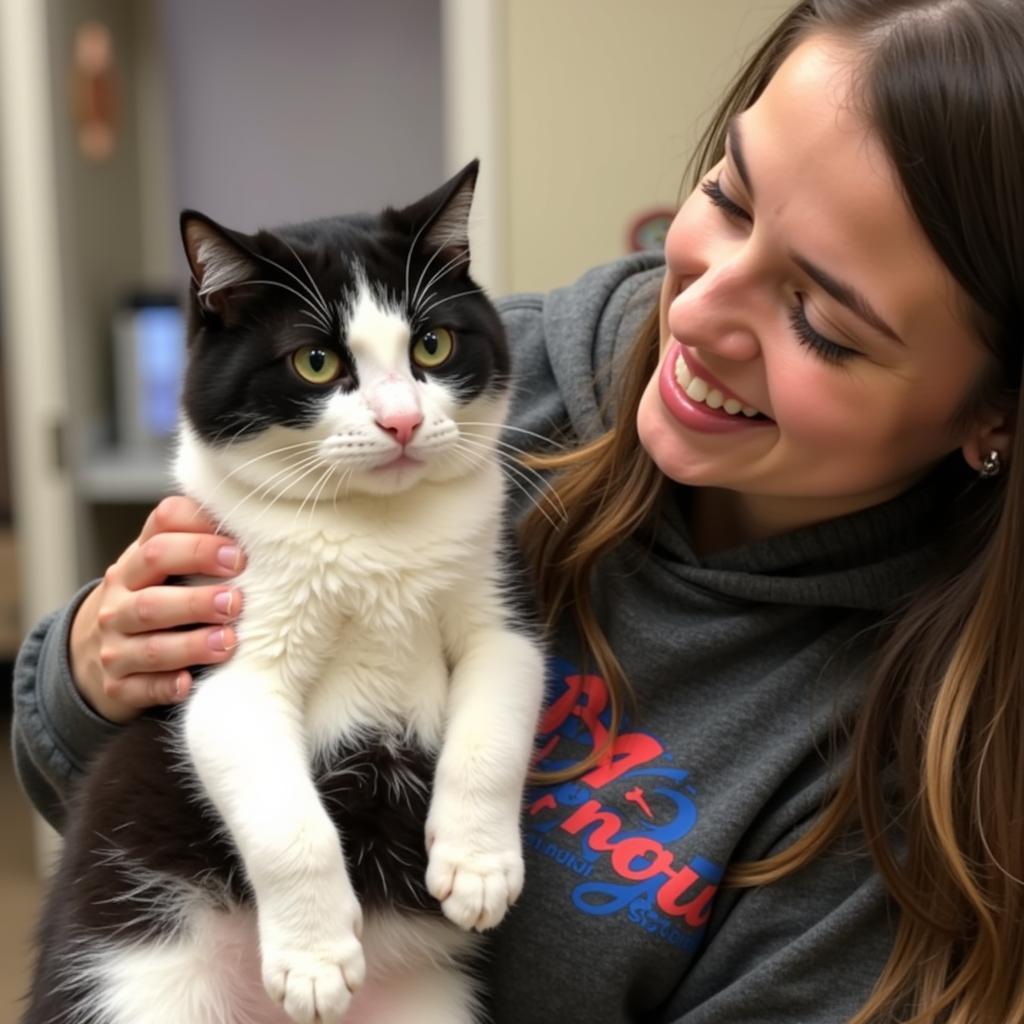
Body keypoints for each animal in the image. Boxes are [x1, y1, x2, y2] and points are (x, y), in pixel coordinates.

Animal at [22, 159, 544, 1024]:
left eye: (432, 344)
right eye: (316, 363)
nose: (403, 421)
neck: (373, 531)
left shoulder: (501, 617)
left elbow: (495, 724)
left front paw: (477, 866)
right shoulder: (225, 653)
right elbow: (282, 817)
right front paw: (313, 957)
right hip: (137, 978)